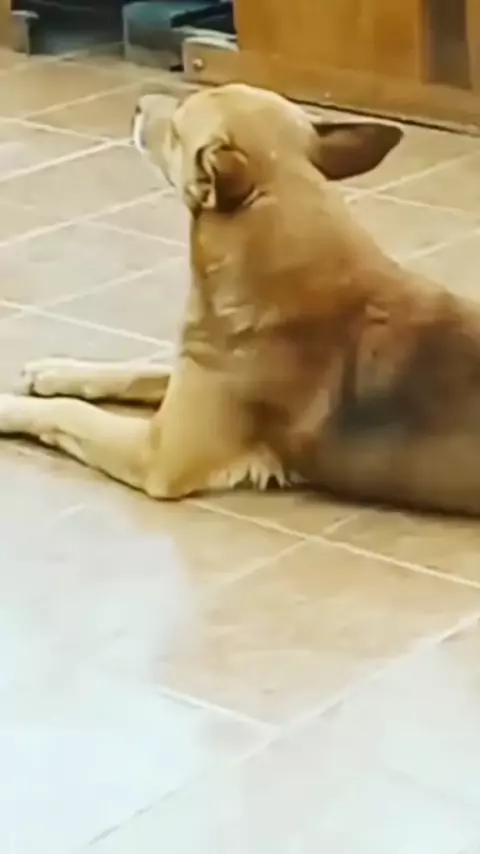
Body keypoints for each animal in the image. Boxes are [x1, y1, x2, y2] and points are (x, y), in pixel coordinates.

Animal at [1, 82, 480, 515]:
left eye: (176, 130)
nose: (138, 103)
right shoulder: (193, 372)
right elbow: (141, 371)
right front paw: (57, 370)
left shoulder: (158, 453)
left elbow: (69, 412)